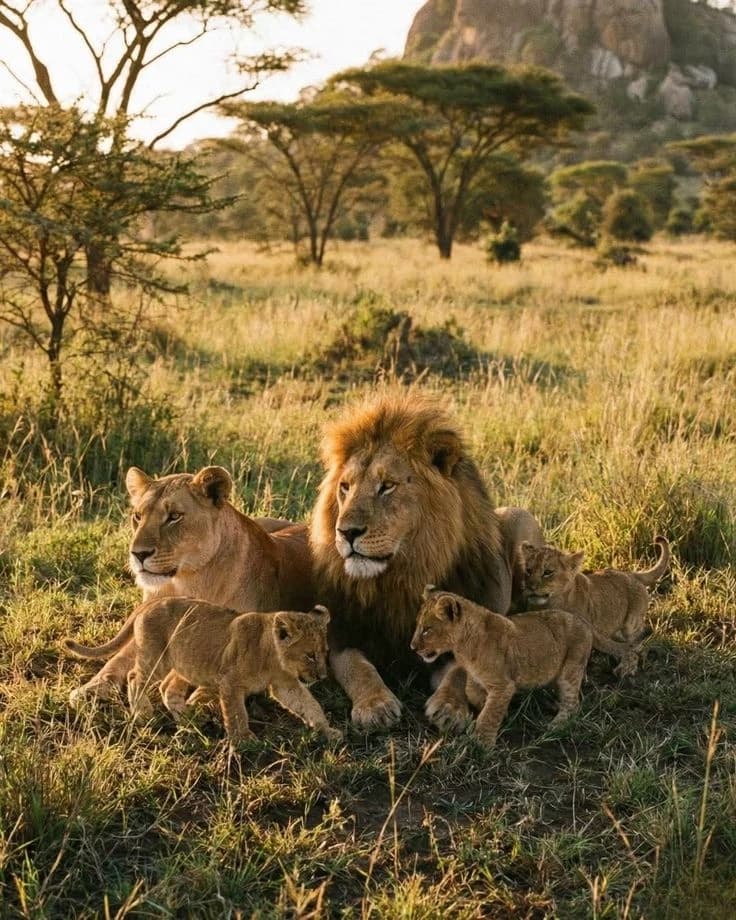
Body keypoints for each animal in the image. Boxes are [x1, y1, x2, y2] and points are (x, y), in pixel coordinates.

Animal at [64, 599, 341, 743]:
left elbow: (309, 705)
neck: (272, 656)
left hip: (183, 662)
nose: (322, 676)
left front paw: (327, 730)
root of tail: (151, 601)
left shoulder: (285, 684)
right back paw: (143, 713)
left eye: (325, 652)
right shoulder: (230, 682)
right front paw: (244, 740)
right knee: (135, 677)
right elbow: (237, 713)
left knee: (166, 688)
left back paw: (189, 719)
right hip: (156, 656)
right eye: (310, 655)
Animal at [69, 465, 314, 706]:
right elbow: (118, 659)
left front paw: (200, 698)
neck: (185, 583)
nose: (138, 554)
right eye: (137, 516)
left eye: (174, 516)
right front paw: (90, 688)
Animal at [309, 392, 544, 731]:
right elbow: (358, 667)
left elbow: (460, 670)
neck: (404, 576)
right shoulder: (344, 634)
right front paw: (375, 706)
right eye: (345, 487)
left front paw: (450, 708)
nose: (346, 532)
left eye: (387, 485)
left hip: (520, 517)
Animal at [411, 587, 638, 747]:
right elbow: (475, 692)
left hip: (571, 668)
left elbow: (490, 715)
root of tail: (582, 619)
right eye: (418, 626)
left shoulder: (504, 684)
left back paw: (556, 724)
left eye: (427, 630)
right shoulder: (477, 678)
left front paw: (480, 743)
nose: (412, 647)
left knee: (573, 703)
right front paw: (488, 708)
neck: (462, 647)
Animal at [519, 536, 670, 664]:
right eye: (528, 570)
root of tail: (631, 574)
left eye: (547, 572)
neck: (550, 604)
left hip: (631, 623)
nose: (530, 586)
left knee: (638, 632)